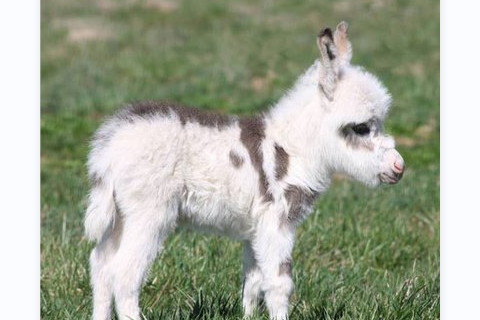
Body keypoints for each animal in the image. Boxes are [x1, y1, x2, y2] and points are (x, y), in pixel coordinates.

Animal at [85, 21, 404, 318]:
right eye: (361, 128)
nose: (399, 167)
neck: (293, 147)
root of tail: (110, 143)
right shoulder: (277, 223)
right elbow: (278, 284)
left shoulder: (256, 230)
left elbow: (252, 282)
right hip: (148, 214)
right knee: (124, 276)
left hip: (120, 216)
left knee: (101, 266)